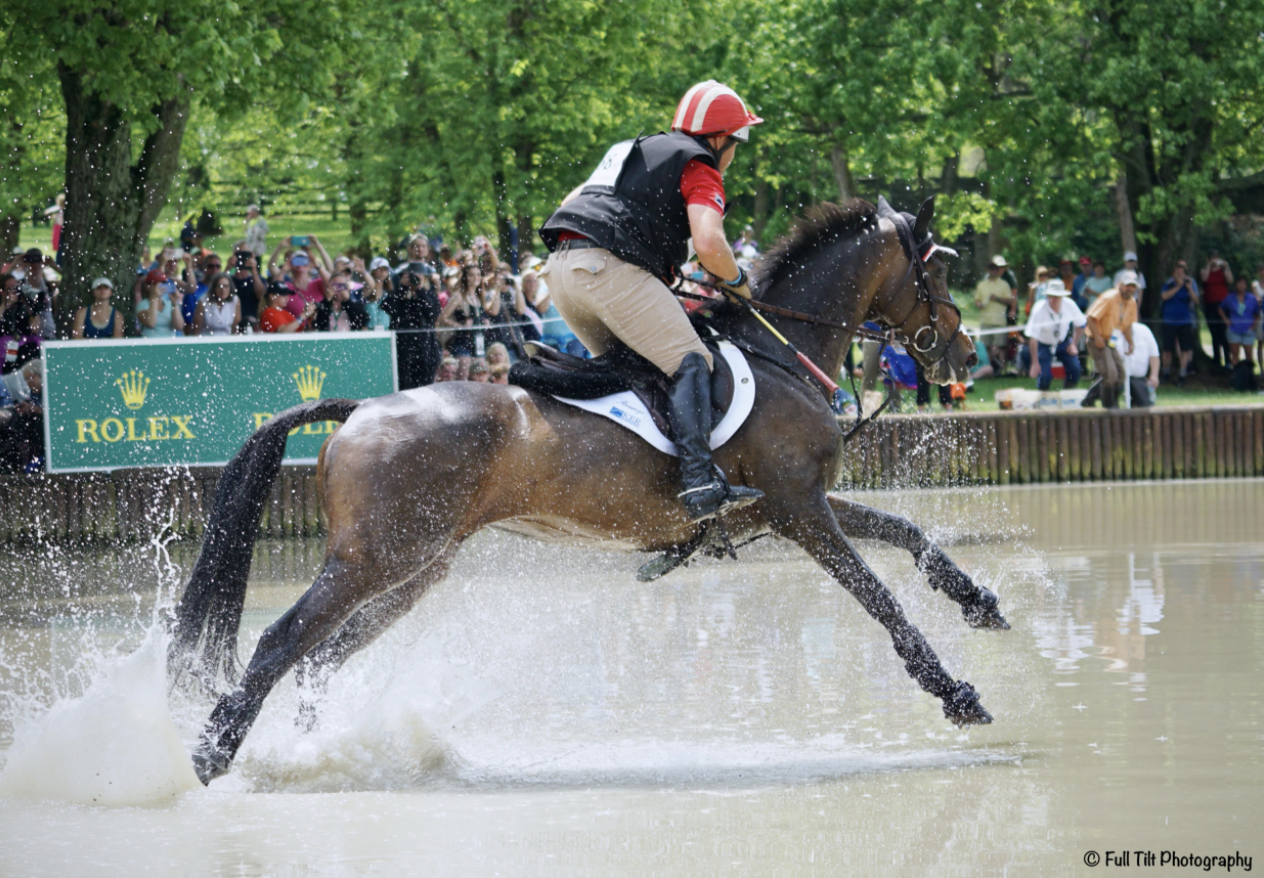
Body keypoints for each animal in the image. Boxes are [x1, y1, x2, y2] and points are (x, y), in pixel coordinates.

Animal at [171, 197, 1006, 786]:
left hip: (416, 565)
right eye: (936, 274)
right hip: (373, 557)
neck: (780, 354)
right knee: (282, 641)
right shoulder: (802, 513)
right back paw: (212, 754)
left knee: (320, 658)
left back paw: (312, 749)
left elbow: (908, 534)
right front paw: (954, 693)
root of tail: (361, 410)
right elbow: (881, 599)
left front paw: (980, 602)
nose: (965, 354)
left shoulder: (789, 506)